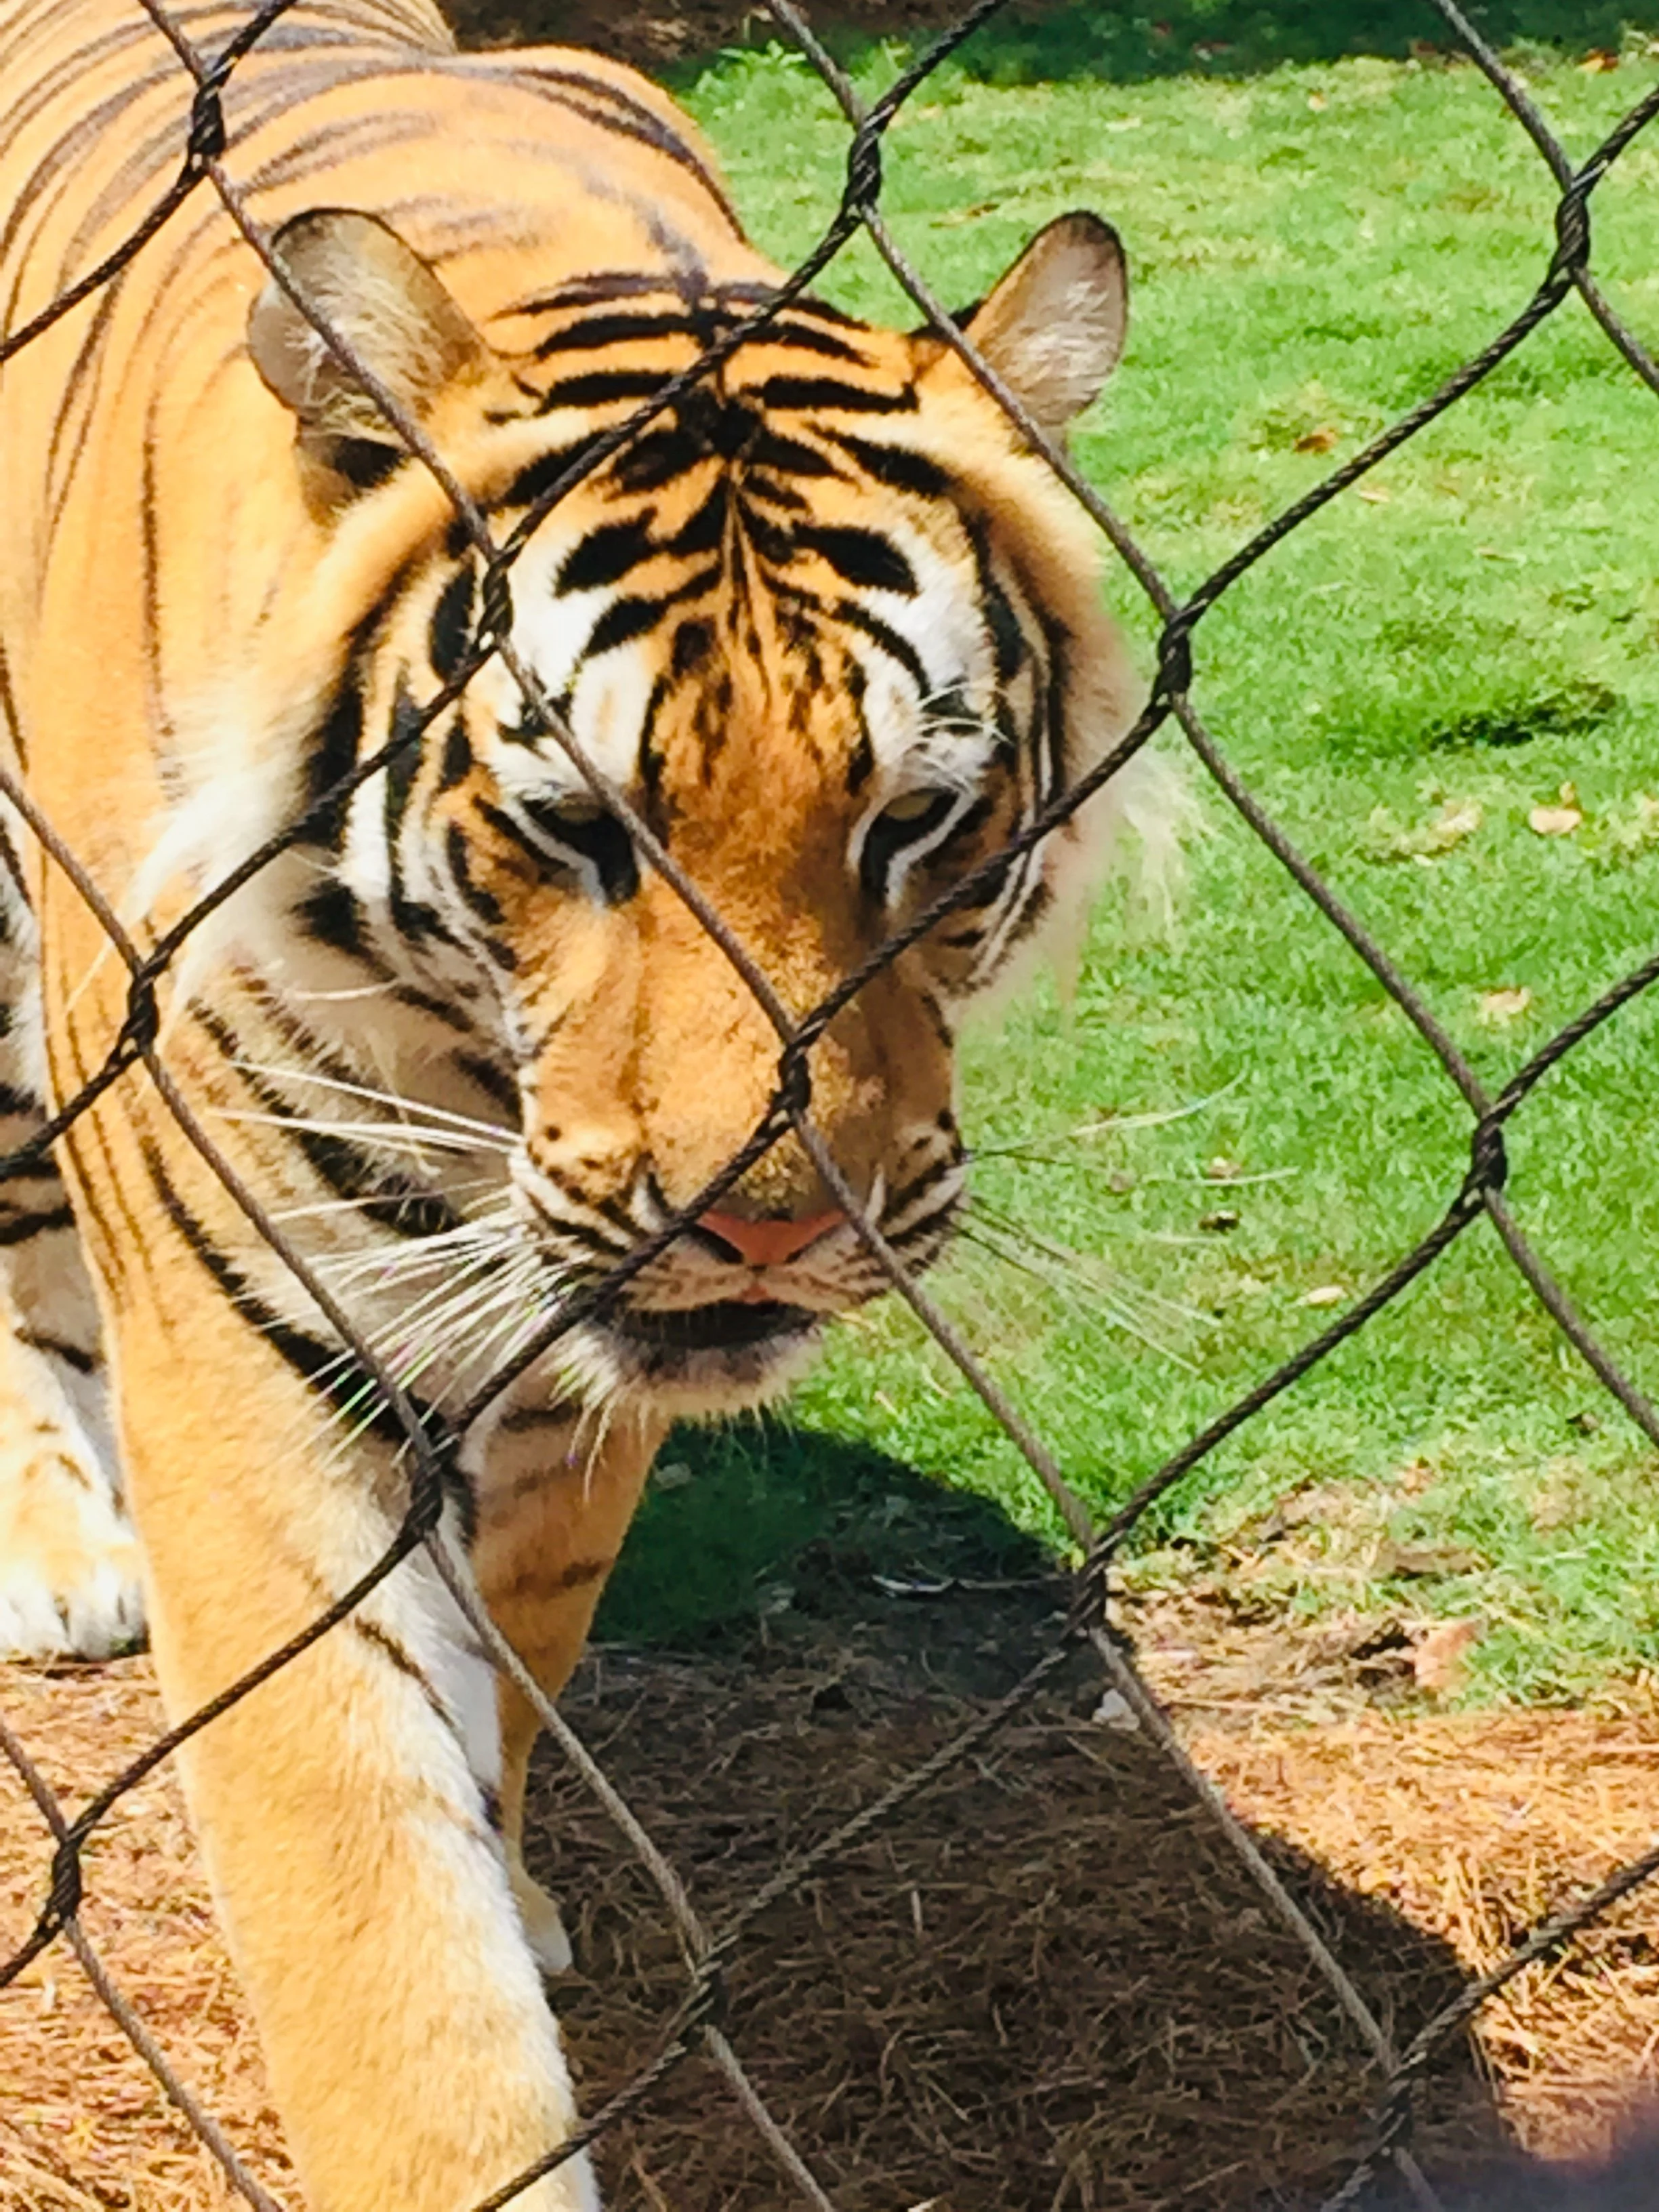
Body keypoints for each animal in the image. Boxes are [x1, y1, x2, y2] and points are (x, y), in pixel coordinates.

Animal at [0, 1, 1168, 2204]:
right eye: (573, 826)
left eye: (916, 820)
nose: (774, 1218)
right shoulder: (248, 1366)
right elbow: (379, 1920)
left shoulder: (574, 1378)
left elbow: (520, 1669)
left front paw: (525, 1877)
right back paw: (52, 1545)